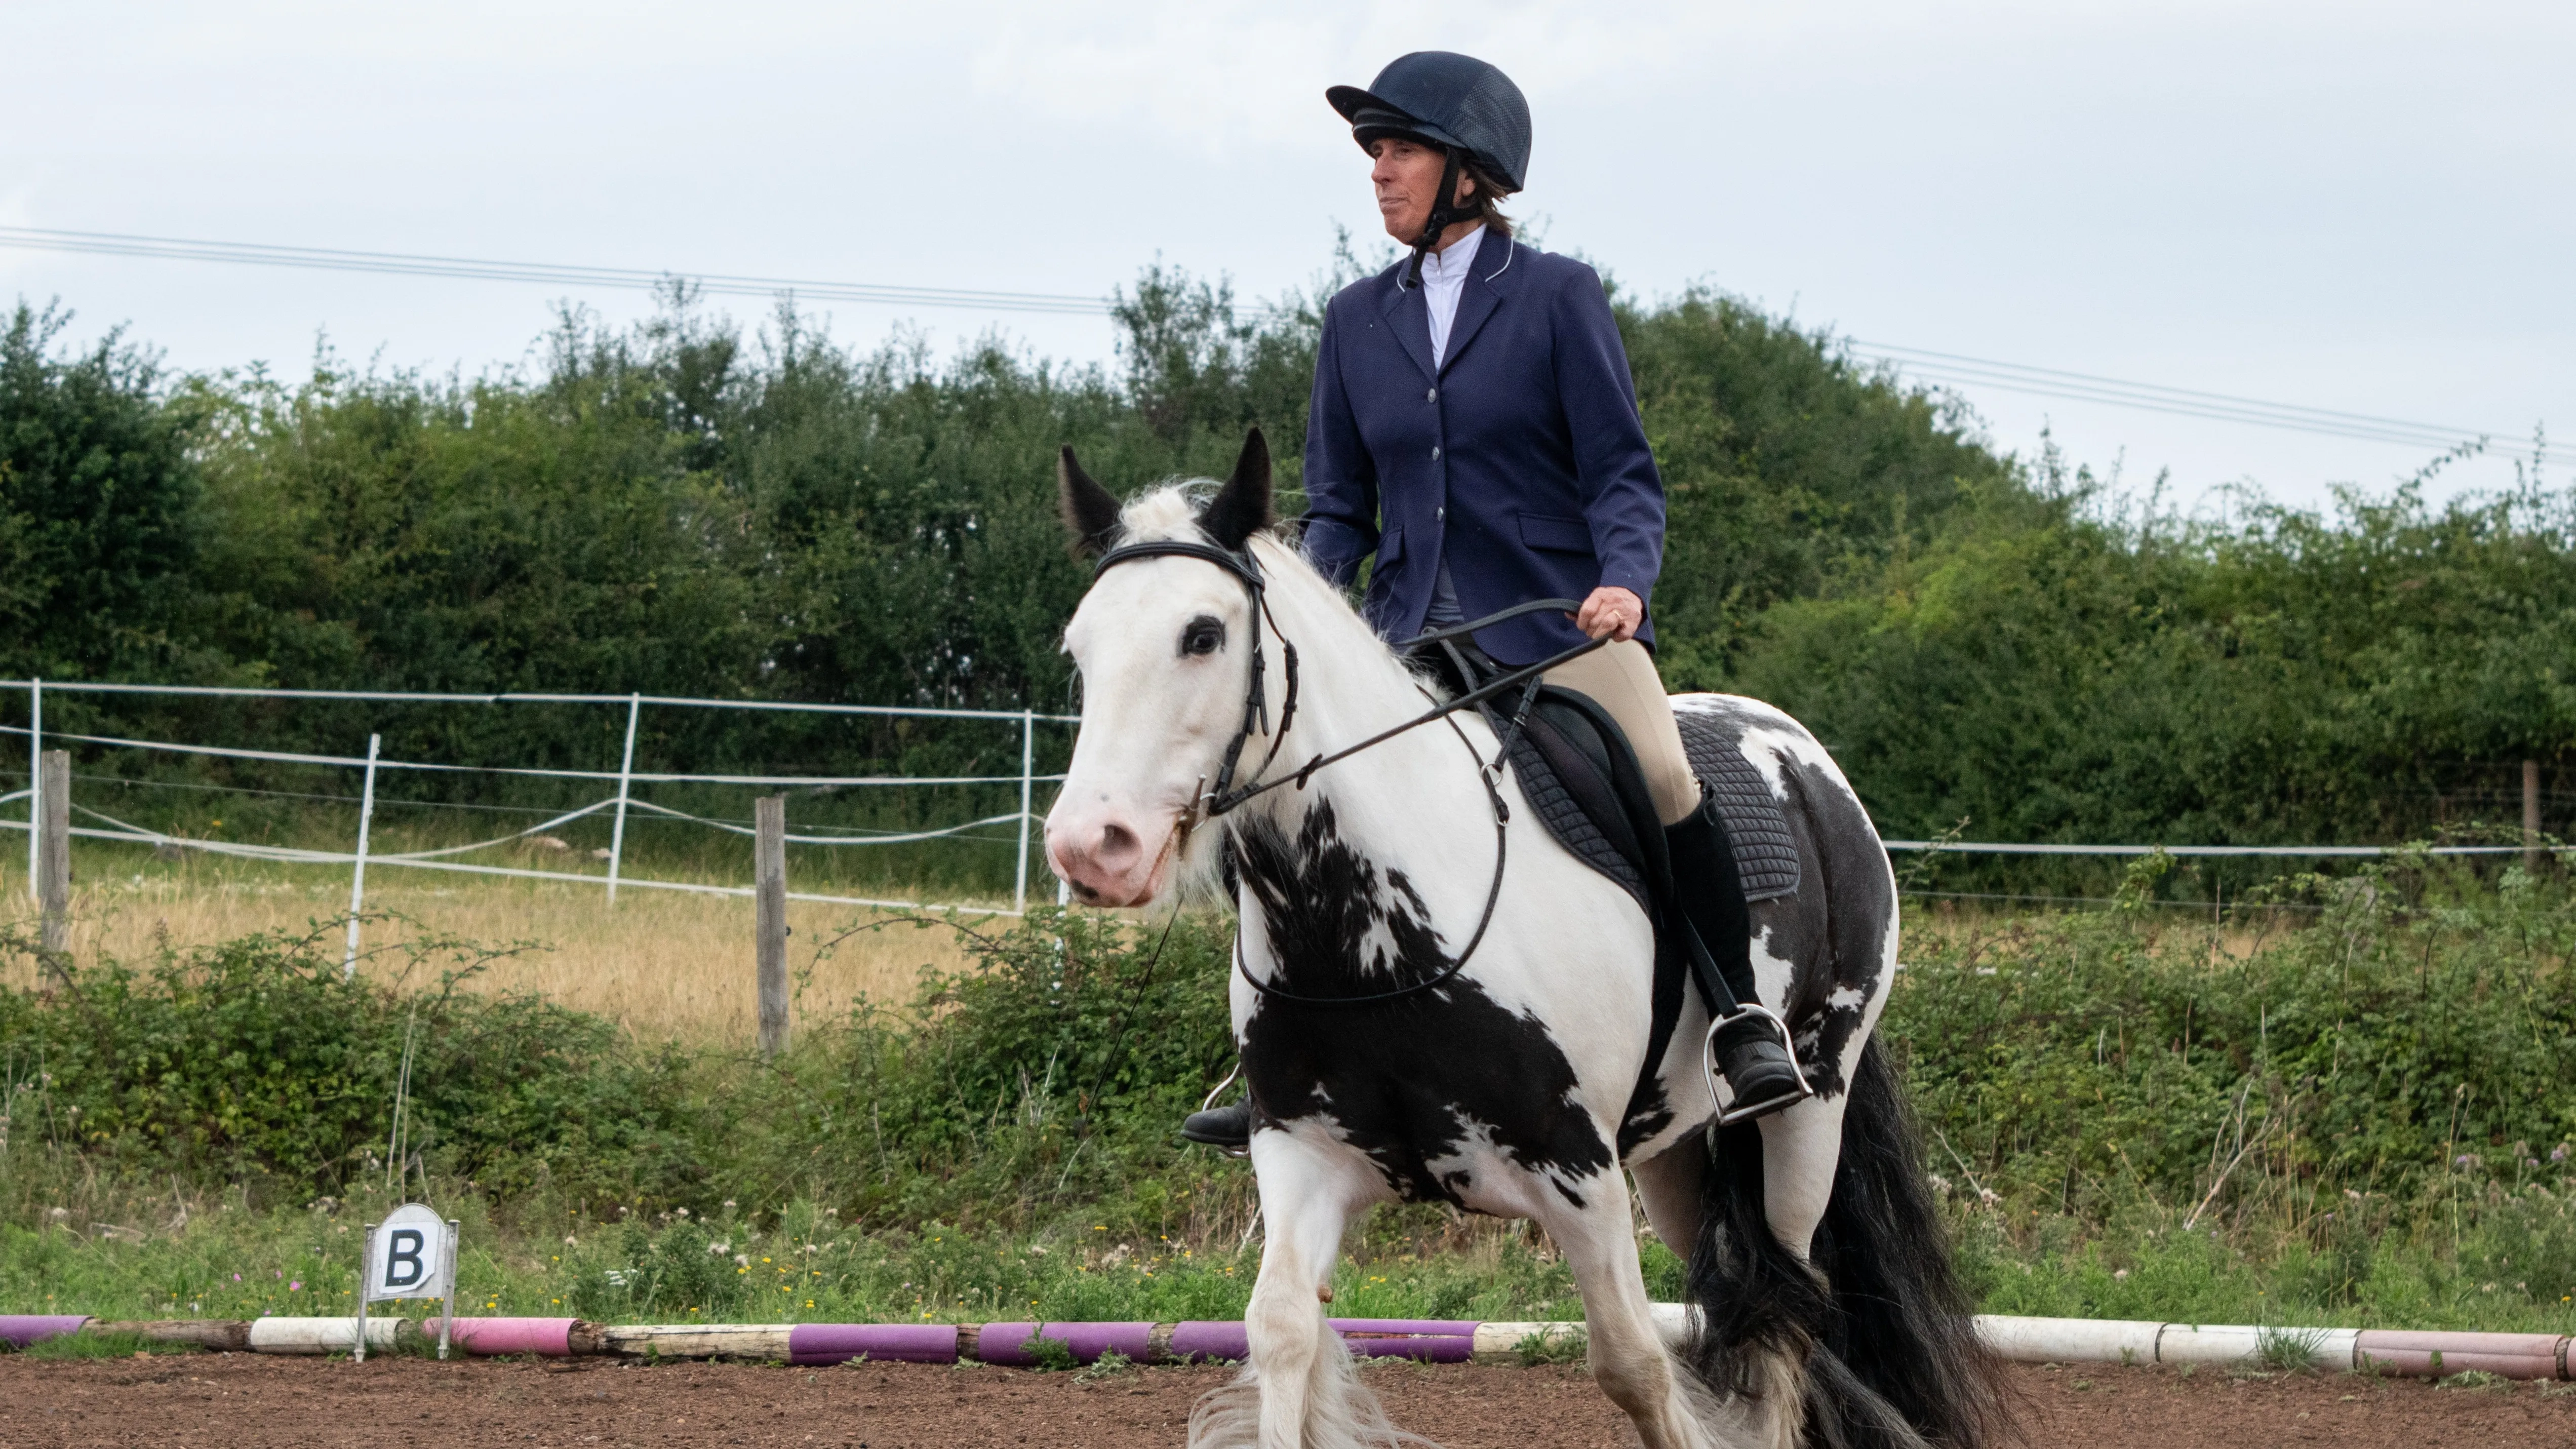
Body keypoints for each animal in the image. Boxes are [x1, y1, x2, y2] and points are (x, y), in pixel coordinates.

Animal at [1043, 431, 2007, 1449]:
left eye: (1203, 635)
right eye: (1080, 646)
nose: (1090, 847)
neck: (1369, 935)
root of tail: (1809, 763)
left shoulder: (1576, 1174)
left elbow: (1633, 1365)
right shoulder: (1300, 1151)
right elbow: (1280, 1333)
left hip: (1805, 1113)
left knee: (1784, 1303)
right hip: (1674, 1151)